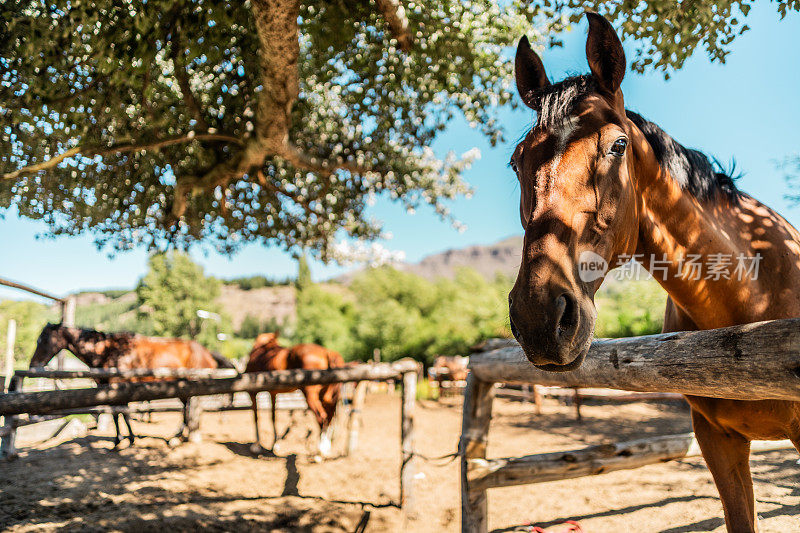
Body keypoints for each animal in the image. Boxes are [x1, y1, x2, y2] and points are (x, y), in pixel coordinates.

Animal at [28, 322, 234, 446]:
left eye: (43, 340)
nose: (32, 365)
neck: (109, 351)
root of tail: (206, 352)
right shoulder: (107, 389)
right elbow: (117, 414)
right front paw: (121, 440)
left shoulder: (119, 387)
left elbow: (122, 414)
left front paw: (126, 440)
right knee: (186, 409)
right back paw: (178, 436)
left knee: (189, 409)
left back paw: (177, 438)